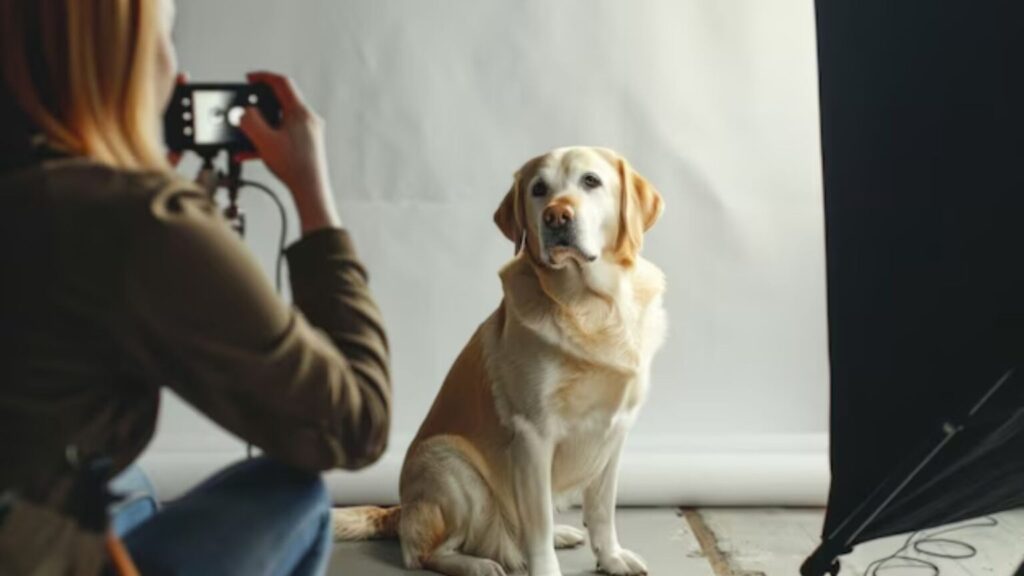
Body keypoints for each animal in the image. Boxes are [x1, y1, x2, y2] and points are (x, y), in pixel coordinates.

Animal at [333, 146, 663, 573]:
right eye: (539, 189)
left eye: (591, 181)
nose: (556, 216)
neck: (591, 305)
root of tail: (401, 510)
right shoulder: (533, 435)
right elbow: (537, 526)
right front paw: (547, 569)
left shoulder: (614, 432)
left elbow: (603, 510)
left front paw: (611, 557)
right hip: (453, 468)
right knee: (425, 553)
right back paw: (478, 564)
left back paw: (559, 534)